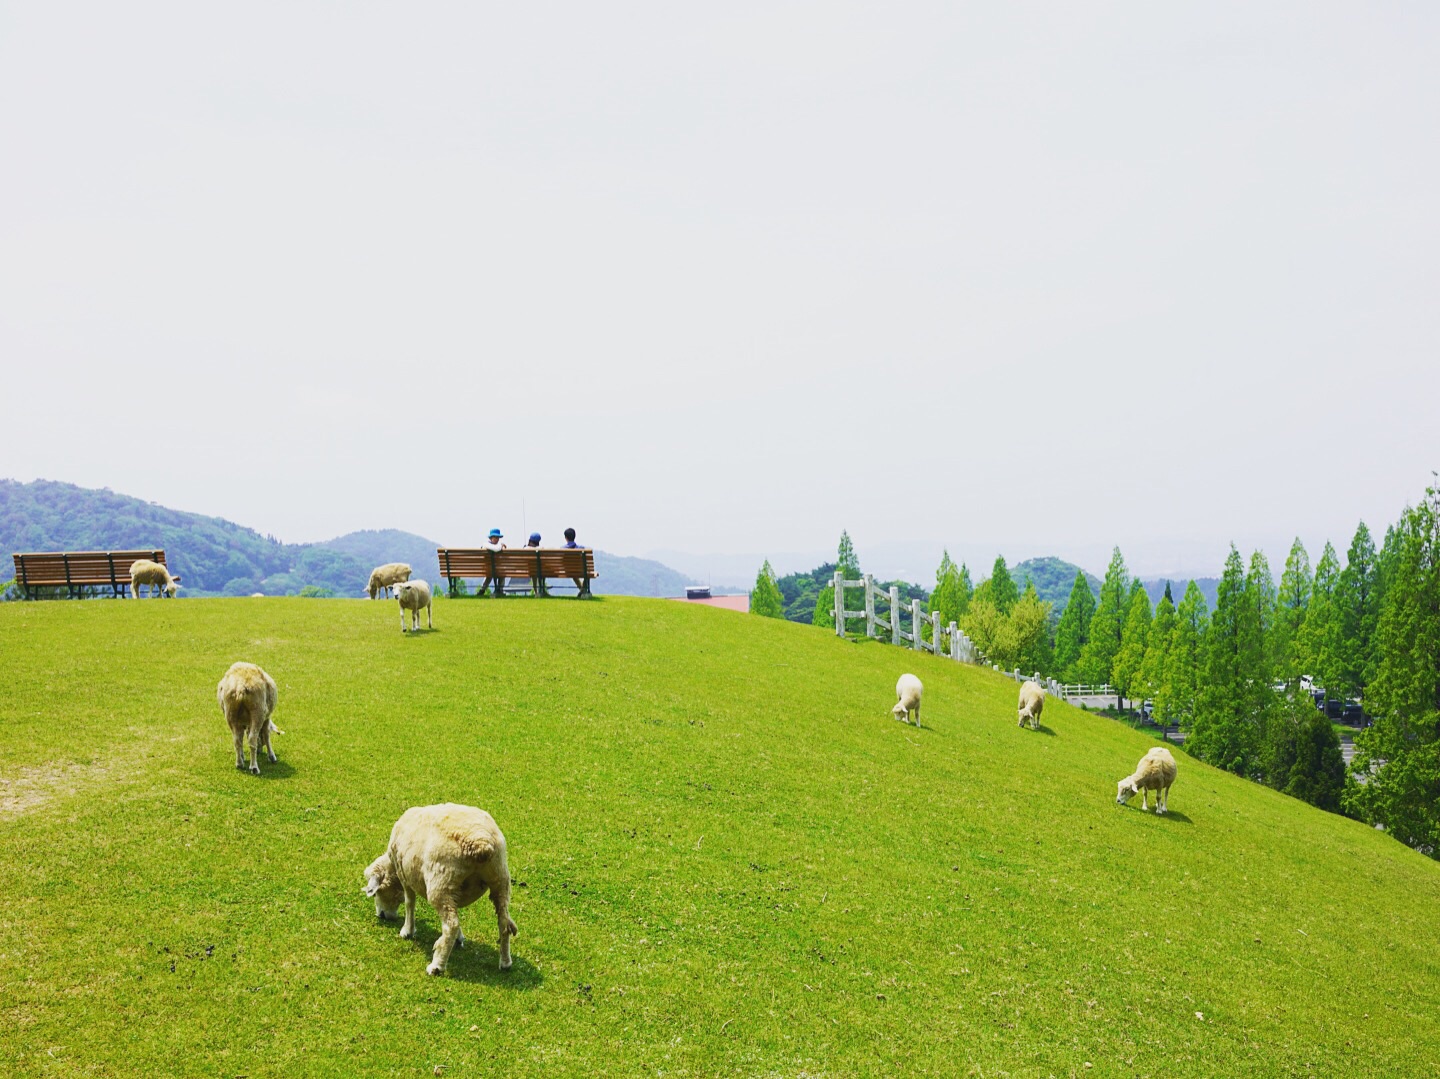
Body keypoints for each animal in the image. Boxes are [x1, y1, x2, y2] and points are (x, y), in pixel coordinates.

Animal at [362, 800, 521, 973]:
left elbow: (409, 903)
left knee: (451, 925)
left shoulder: (405, 876)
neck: (393, 869)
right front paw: (459, 938)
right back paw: (505, 962)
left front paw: (407, 931)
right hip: (500, 879)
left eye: (376, 893)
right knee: (504, 922)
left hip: (441, 883)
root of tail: (481, 843)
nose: (383, 916)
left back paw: (437, 965)